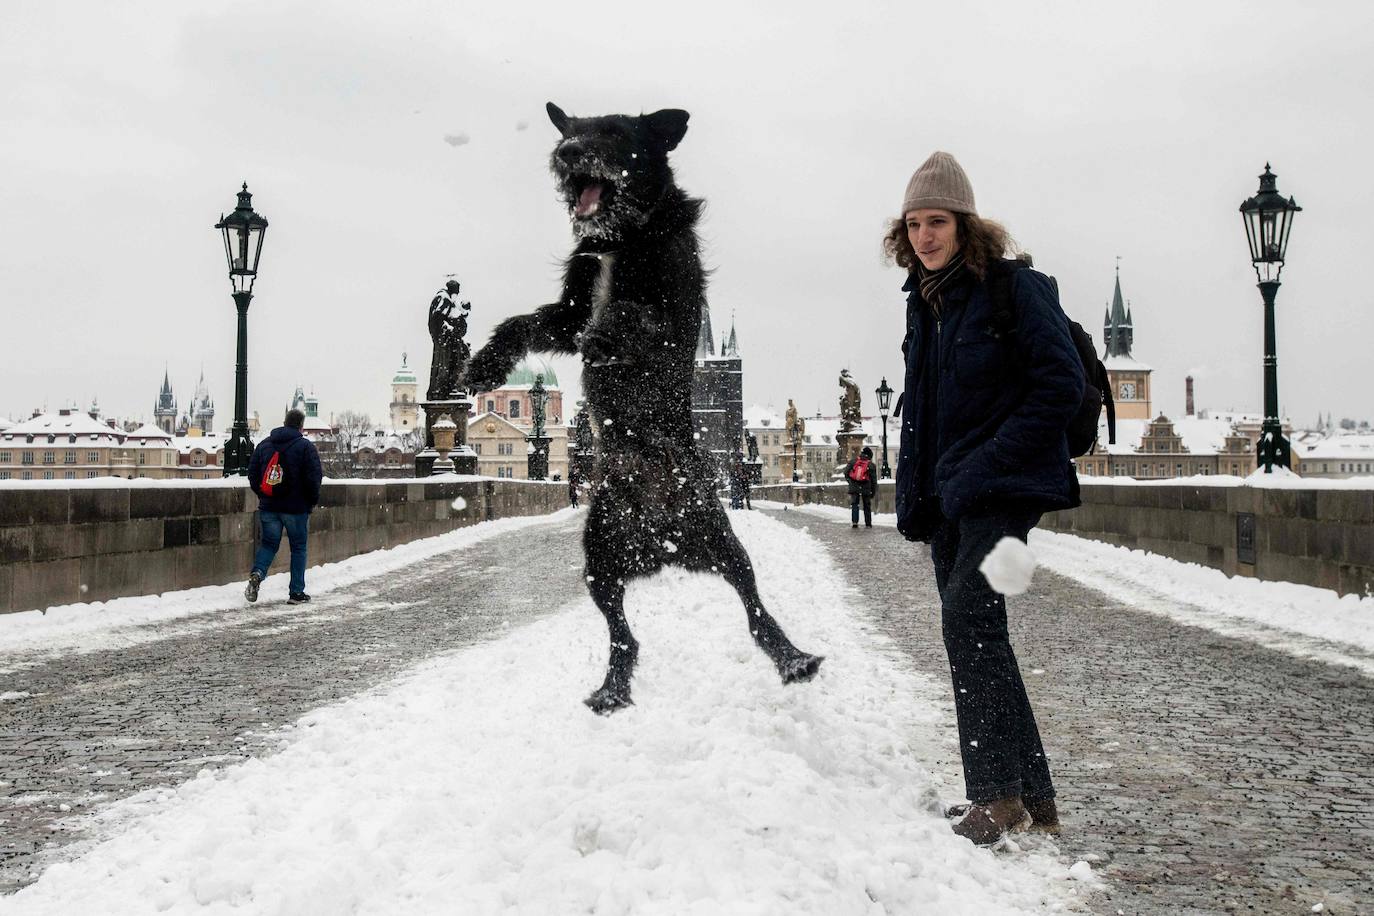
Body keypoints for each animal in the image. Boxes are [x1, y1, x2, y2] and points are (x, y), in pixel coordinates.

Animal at [467, 102, 818, 714]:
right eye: (572, 131)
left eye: (611, 133)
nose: (567, 154)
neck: (622, 234)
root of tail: (662, 543)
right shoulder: (569, 311)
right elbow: (526, 322)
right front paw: (486, 362)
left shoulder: (668, 309)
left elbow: (631, 312)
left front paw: (606, 336)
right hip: (599, 563)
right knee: (625, 637)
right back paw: (611, 689)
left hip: (724, 542)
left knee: (754, 608)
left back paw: (793, 659)